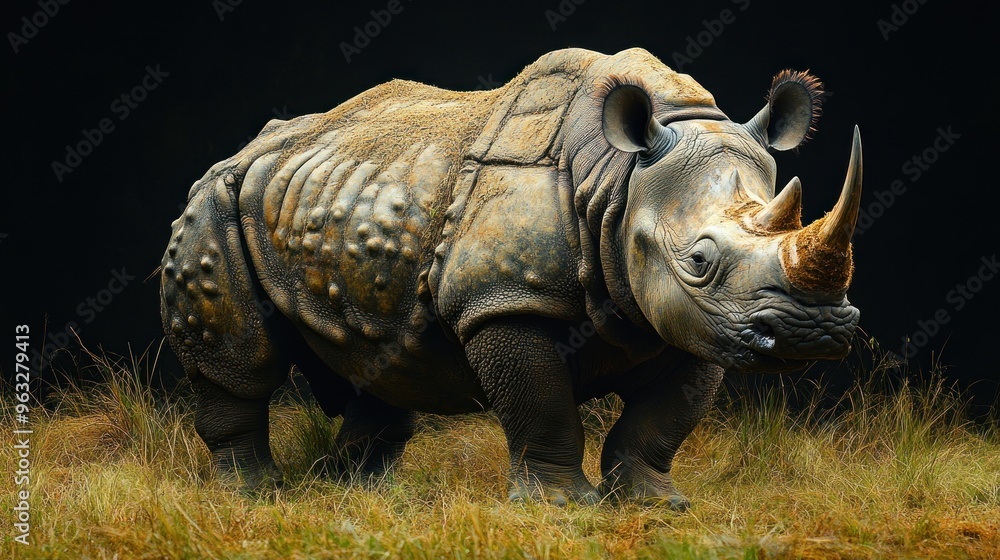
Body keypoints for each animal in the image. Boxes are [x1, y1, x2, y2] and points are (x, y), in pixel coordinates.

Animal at [160, 47, 862, 508]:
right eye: (699, 261)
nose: (811, 331)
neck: (617, 180)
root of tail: (245, 150)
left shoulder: (697, 320)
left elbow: (664, 418)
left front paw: (655, 504)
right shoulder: (505, 300)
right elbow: (542, 403)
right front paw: (564, 509)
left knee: (376, 356)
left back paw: (361, 495)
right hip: (216, 198)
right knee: (240, 362)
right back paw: (255, 498)